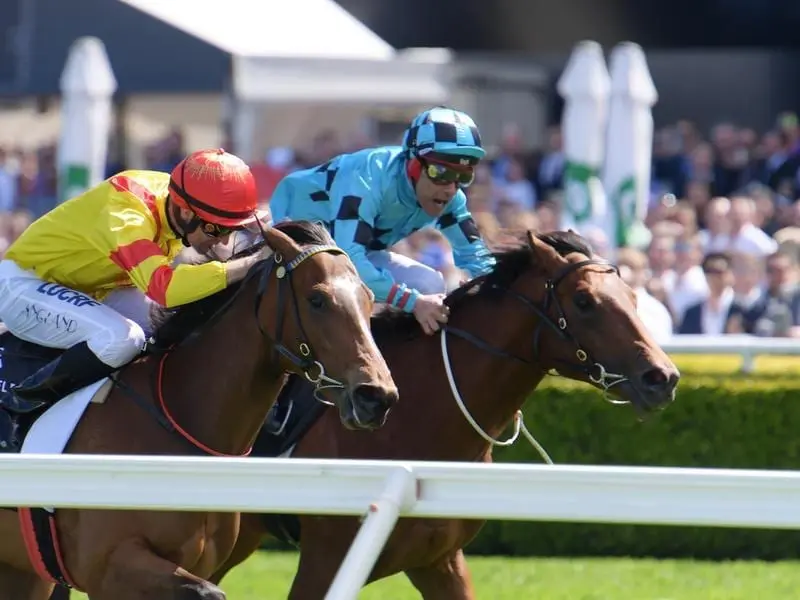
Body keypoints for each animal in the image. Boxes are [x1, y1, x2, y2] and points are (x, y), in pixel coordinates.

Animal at [0, 220, 400, 600]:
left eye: (368, 299)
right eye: (317, 299)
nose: (376, 396)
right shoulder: (109, 569)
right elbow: (208, 592)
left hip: (24, 571)